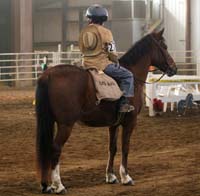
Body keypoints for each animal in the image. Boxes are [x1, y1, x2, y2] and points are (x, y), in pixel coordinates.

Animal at [35, 28, 177, 194]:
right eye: (164, 47)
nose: (174, 68)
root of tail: (48, 74)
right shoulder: (130, 122)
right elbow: (125, 147)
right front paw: (126, 177)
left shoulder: (113, 124)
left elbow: (112, 148)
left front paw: (110, 176)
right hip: (66, 125)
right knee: (55, 149)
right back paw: (58, 185)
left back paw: (47, 185)